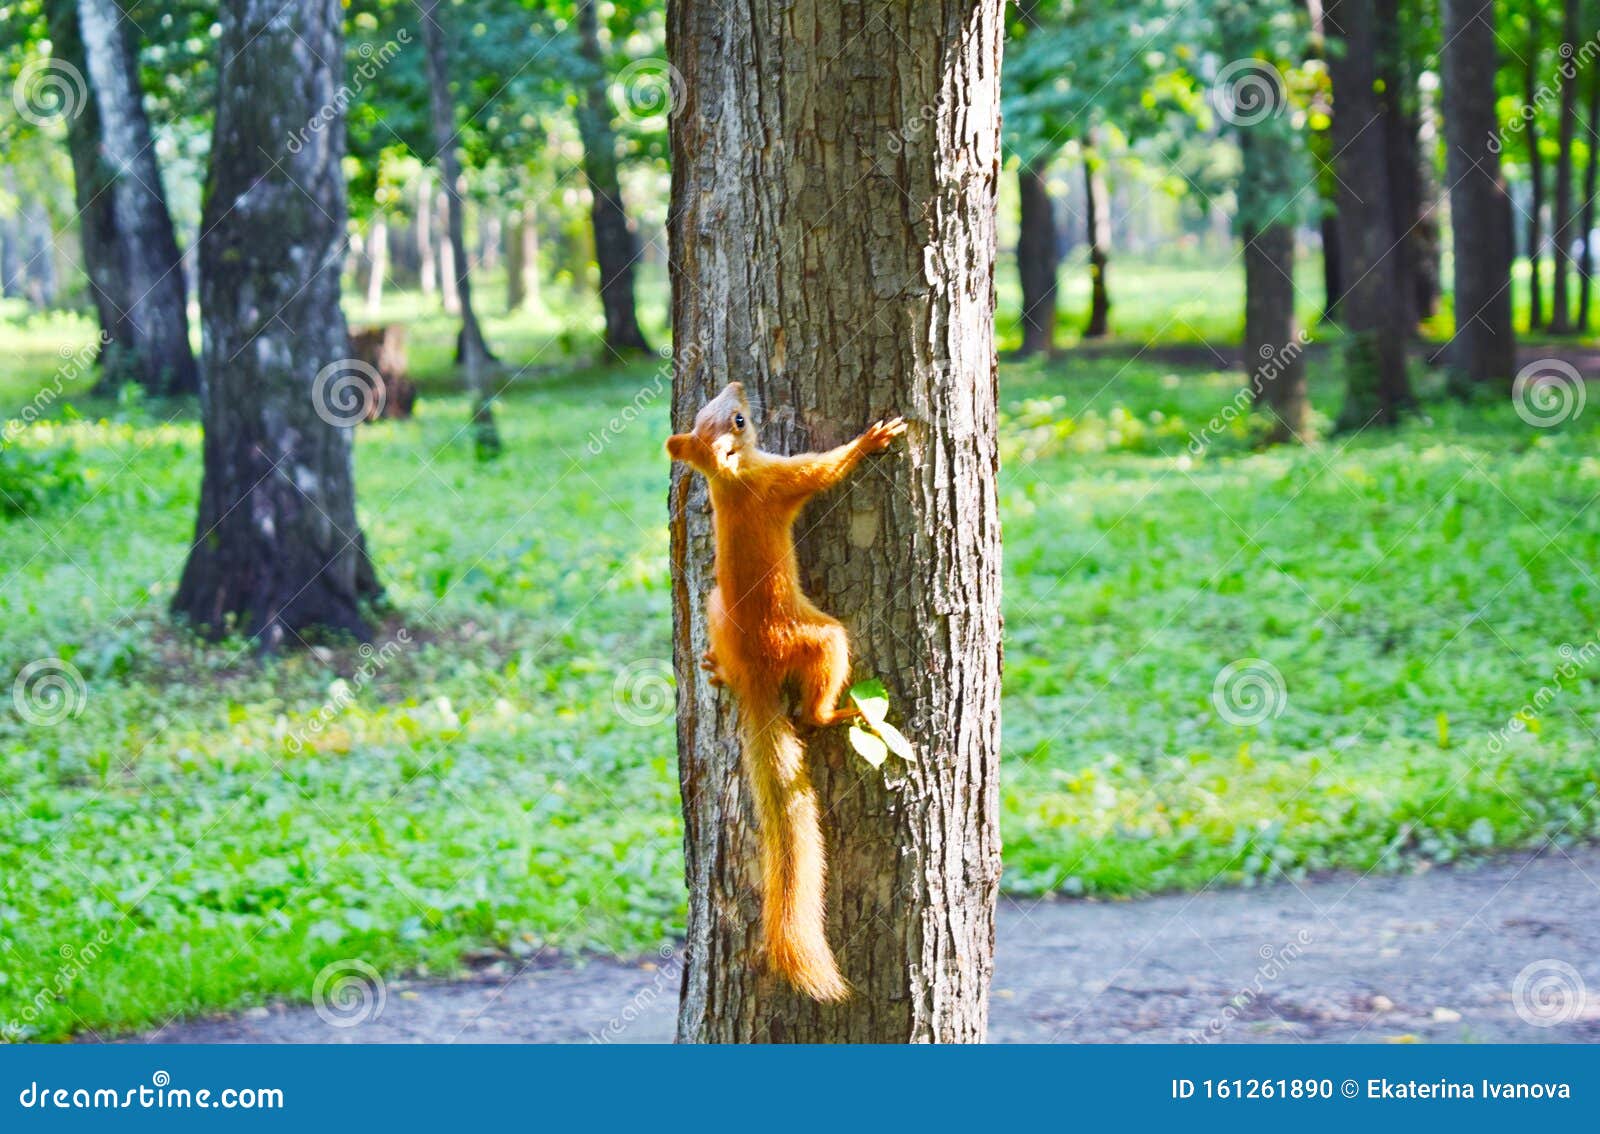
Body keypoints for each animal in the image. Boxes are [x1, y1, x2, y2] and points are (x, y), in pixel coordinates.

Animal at [667, 381, 907, 1002]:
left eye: (715, 408)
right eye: (738, 419)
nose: (738, 384)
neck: (729, 478)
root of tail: (756, 672)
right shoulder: (781, 479)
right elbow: (824, 470)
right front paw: (871, 440)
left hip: (714, 607)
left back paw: (718, 670)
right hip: (818, 638)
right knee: (813, 709)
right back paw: (836, 714)